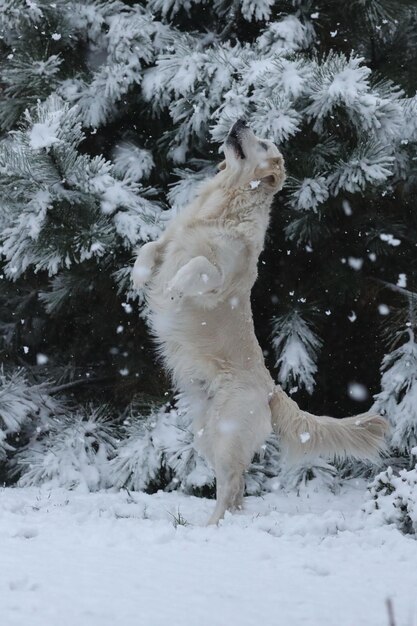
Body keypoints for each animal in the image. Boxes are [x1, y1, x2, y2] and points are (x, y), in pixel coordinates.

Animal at [131, 119, 386, 524]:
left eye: (264, 143)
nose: (238, 122)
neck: (224, 205)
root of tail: (270, 389)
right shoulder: (172, 240)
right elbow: (152, 246)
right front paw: (139, 277)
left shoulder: (219, 278)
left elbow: (196, 265)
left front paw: (171, 291)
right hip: (207, 434)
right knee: (234, 489)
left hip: (227, 433)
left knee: (232, 486)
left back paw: (211, 528)